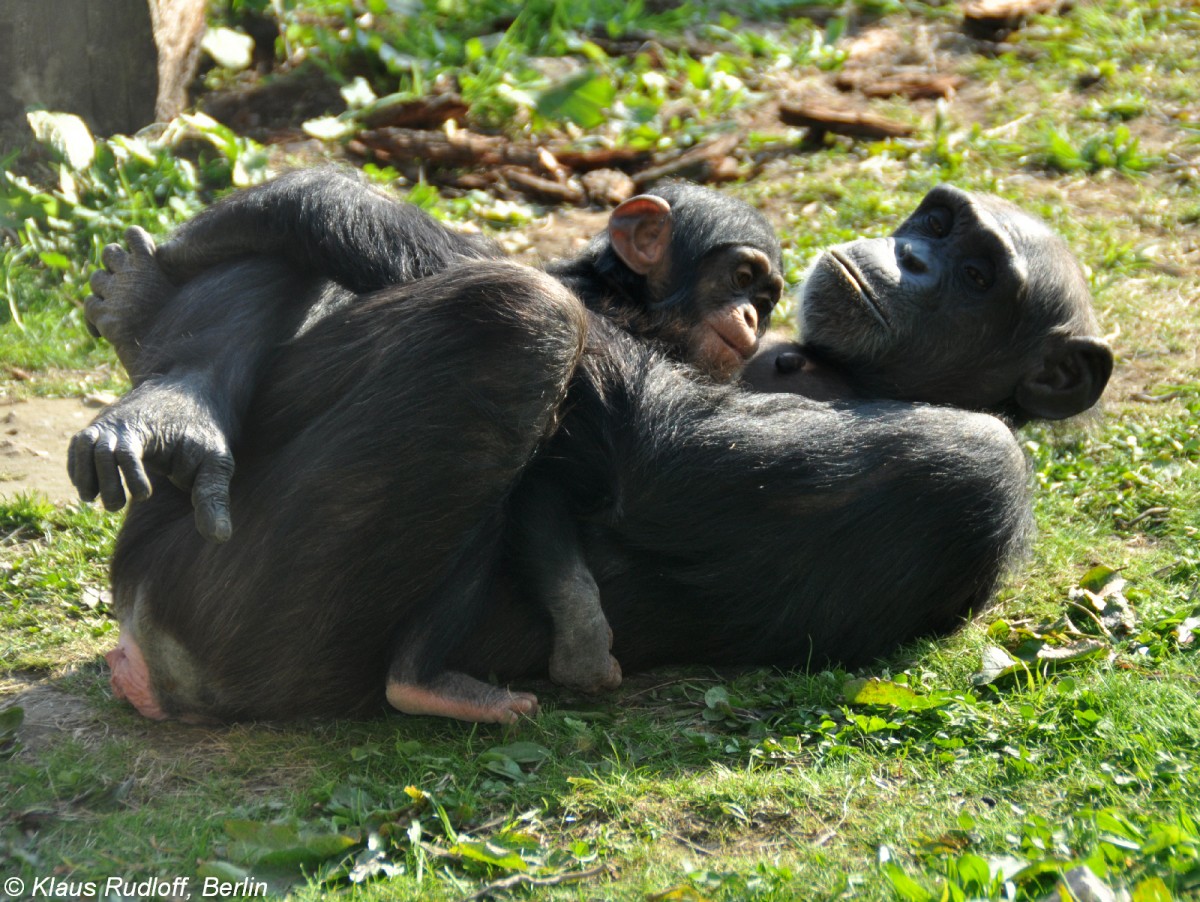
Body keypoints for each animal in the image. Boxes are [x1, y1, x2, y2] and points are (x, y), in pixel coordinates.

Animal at [72, 173, 1104, 724]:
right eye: (937, 225)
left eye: (977, 276)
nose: (915, 257)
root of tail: (147, 660)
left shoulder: (977, 465)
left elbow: (650, 444)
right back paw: (165, 379)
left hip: (232, 612)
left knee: (518, 315)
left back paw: (428, 682)